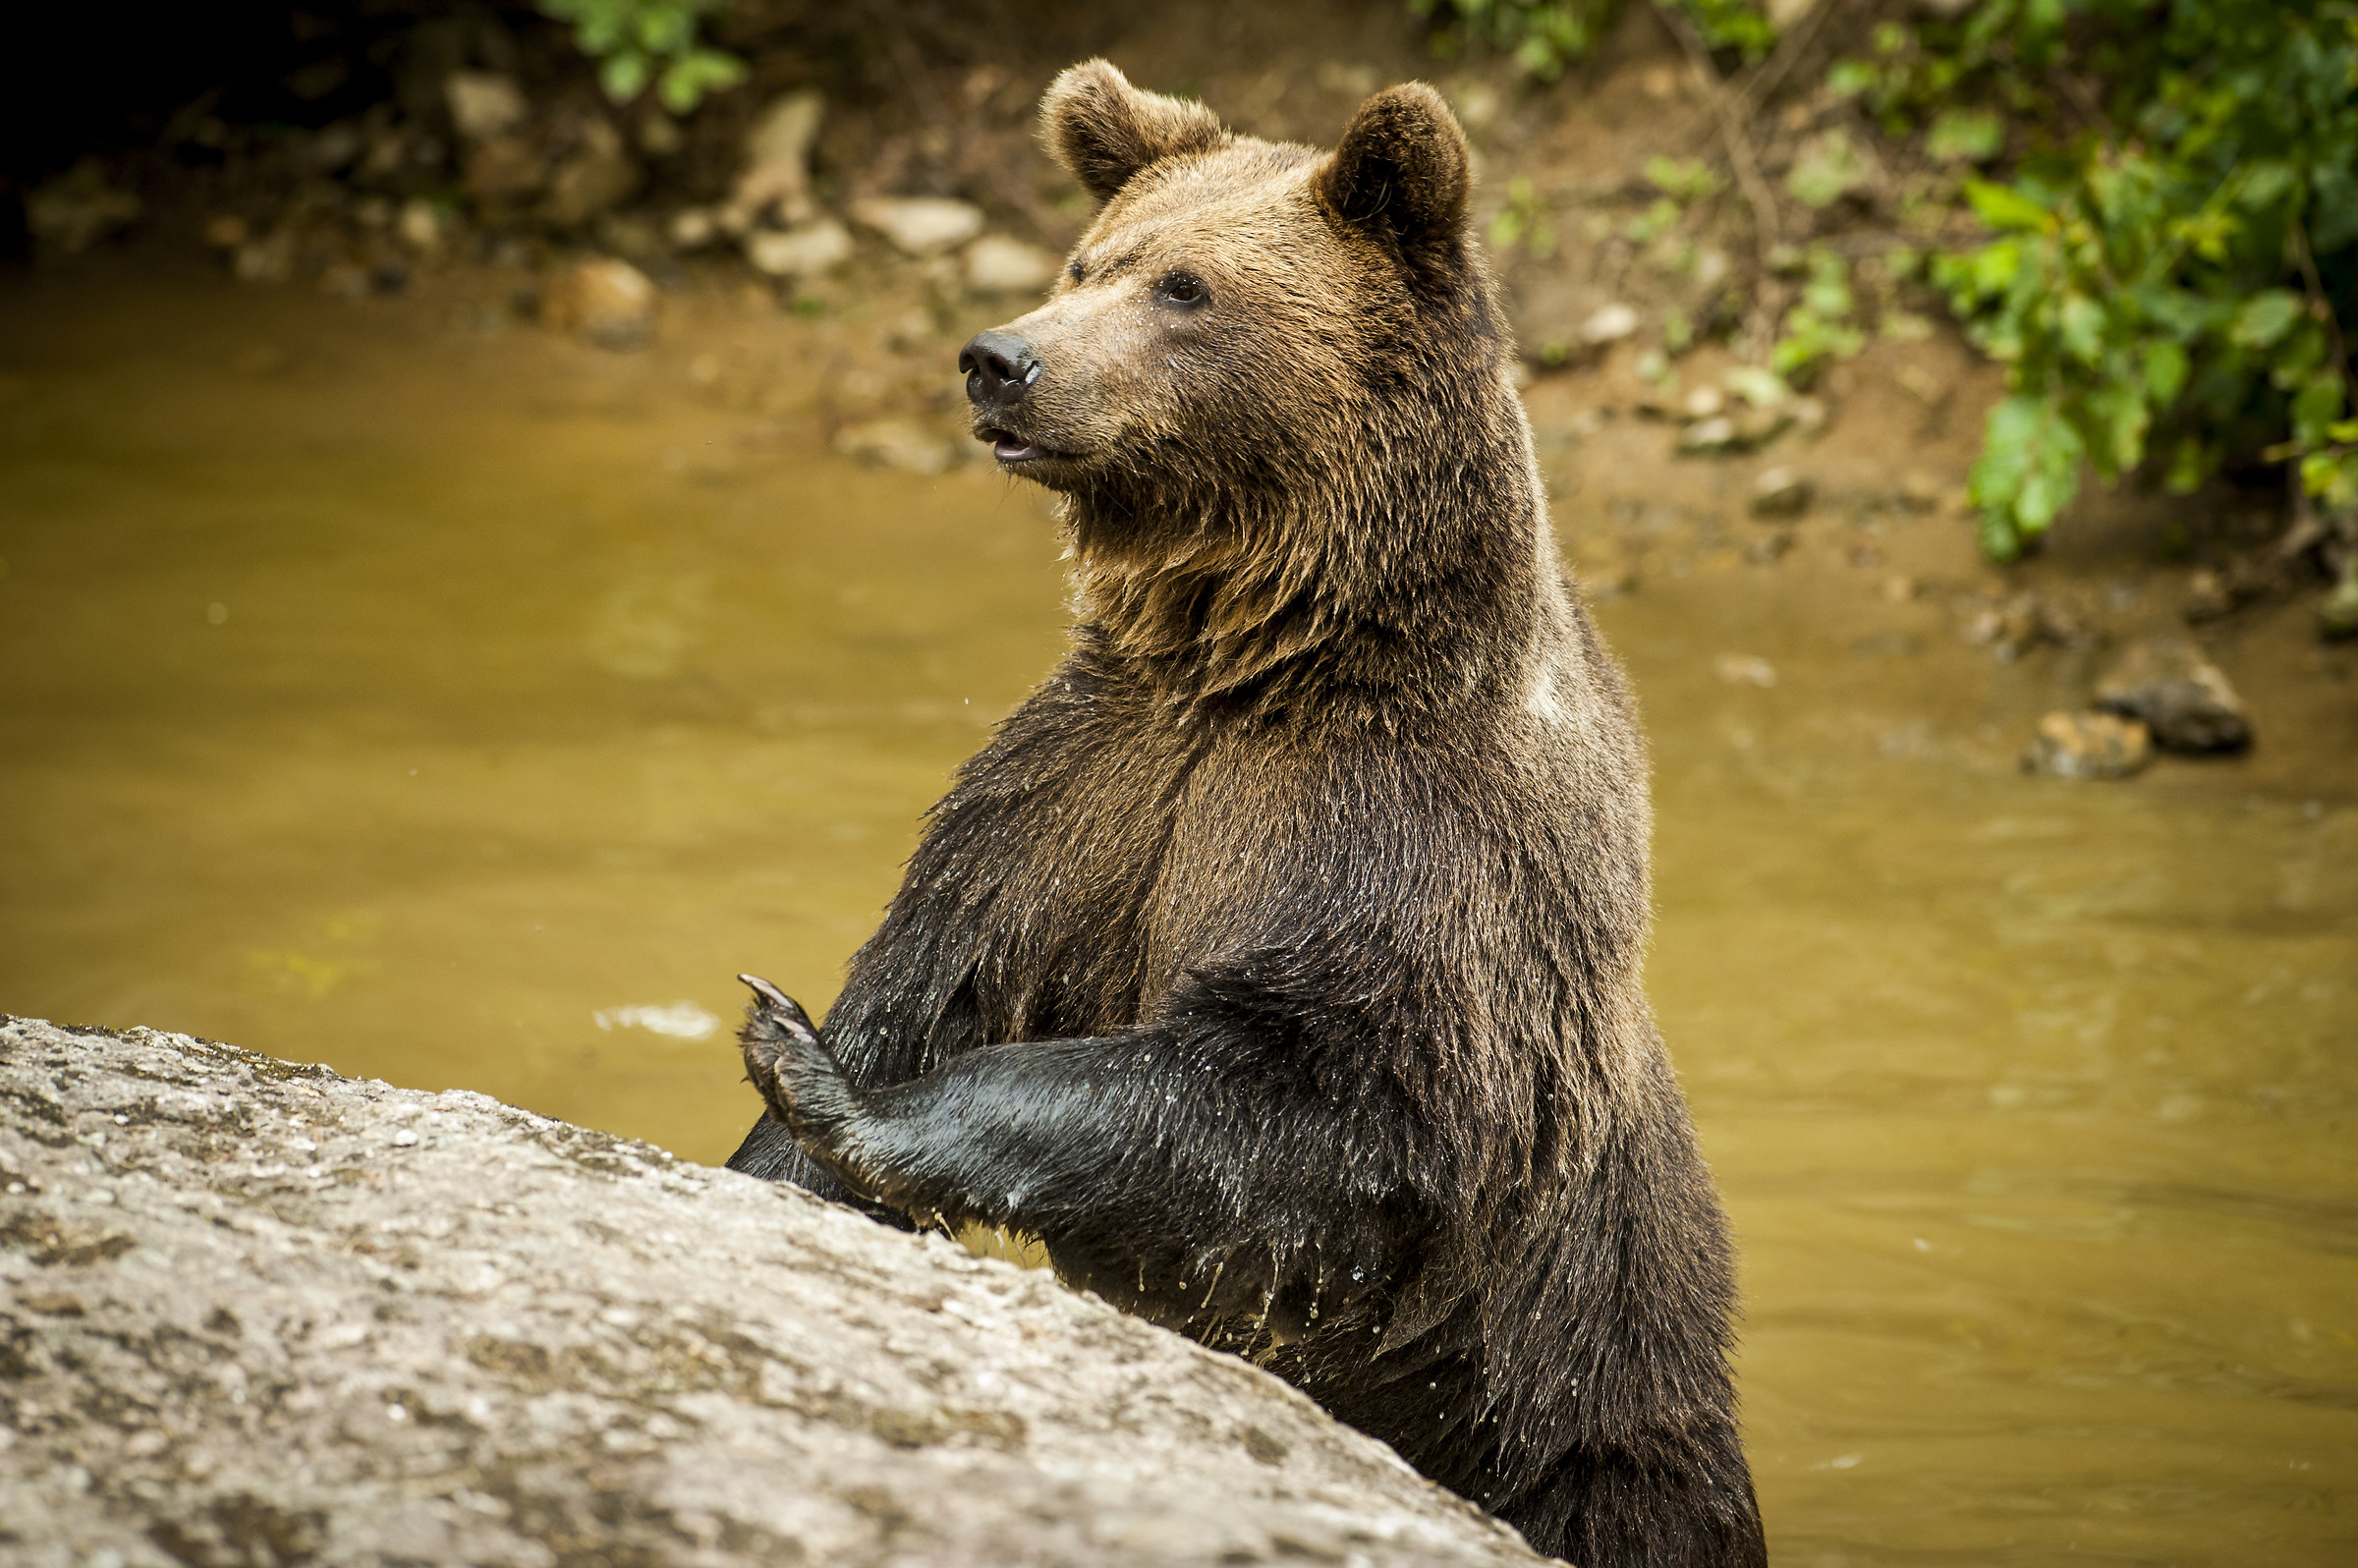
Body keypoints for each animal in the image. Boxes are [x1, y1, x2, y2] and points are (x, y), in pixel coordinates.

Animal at [725, 60, 1766, 1568]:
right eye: (1087, 261)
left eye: (1187, 289)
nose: (1000, 358)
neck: (1256, 654)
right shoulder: (1085, 788)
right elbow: (933, 972)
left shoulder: (1412, 839)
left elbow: (1322, 1098)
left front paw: (825, 1079)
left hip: (1586, 1417)